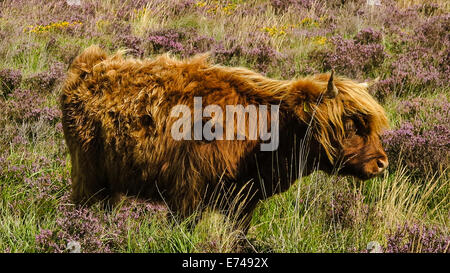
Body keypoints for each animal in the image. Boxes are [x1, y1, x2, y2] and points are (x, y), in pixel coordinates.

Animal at [61, 44, 388, 232]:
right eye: (350, 125)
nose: (382, 163)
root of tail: (90, 65)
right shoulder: (187, 194)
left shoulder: (244, 200)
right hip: (86, 175)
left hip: (110, 182)